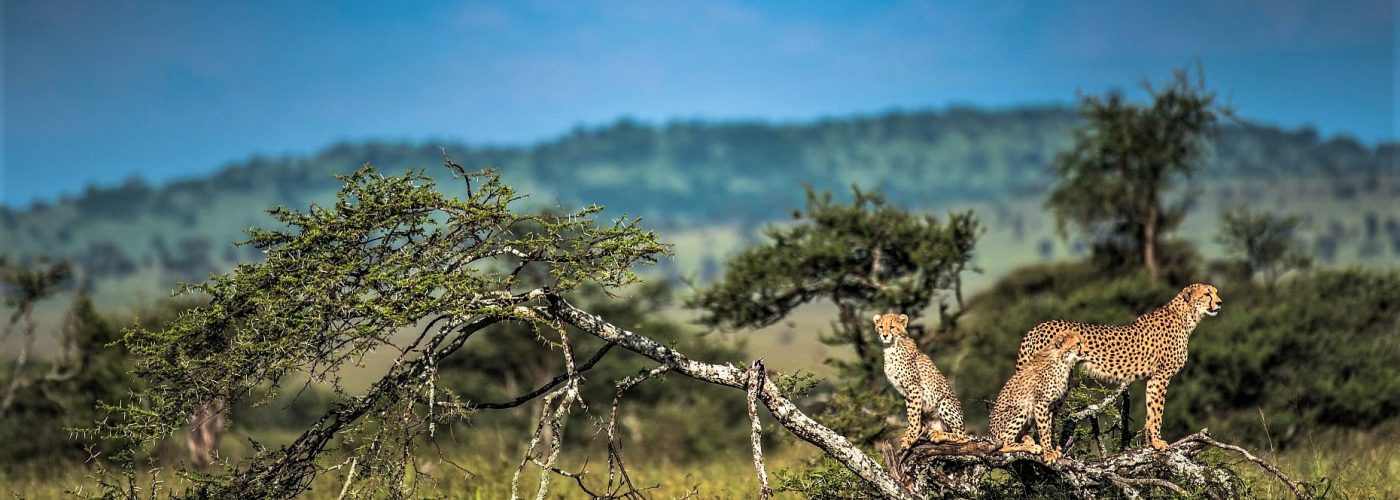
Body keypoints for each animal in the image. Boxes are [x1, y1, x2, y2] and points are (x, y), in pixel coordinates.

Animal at [868, 310, 968, 448]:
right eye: (881, 327)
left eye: (892, 327)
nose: (884, 335)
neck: (891, 347)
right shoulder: (905, 391)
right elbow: (911, 413)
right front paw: (909, 433)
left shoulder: (914, 387)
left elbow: (913, 415)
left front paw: (911, 436)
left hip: (945, 402)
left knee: (963, 436)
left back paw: (938, 435)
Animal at [985, 329, 1080, 462]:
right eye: (1077, 344)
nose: (1084, 351)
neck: (1063, 361)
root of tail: (989, 434)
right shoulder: (1041, 404)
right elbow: (1044, 430)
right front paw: (1049, 453)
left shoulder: (1052, 406)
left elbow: (1050, 427)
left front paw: (1054, 449)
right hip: (1020, 409)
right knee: (1004, 443)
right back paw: (1031, 446)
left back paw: (1028, 440)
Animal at [1013, 282, 1220, 450]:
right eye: (1207, 294)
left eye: (1216, 292)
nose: (1220, 302)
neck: (1186, 316)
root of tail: (1037, 327)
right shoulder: (1162, 375)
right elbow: (1157, 412)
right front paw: (1158, 442)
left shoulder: (1153, 378)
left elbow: (1151, 410)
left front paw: (1150, 442)